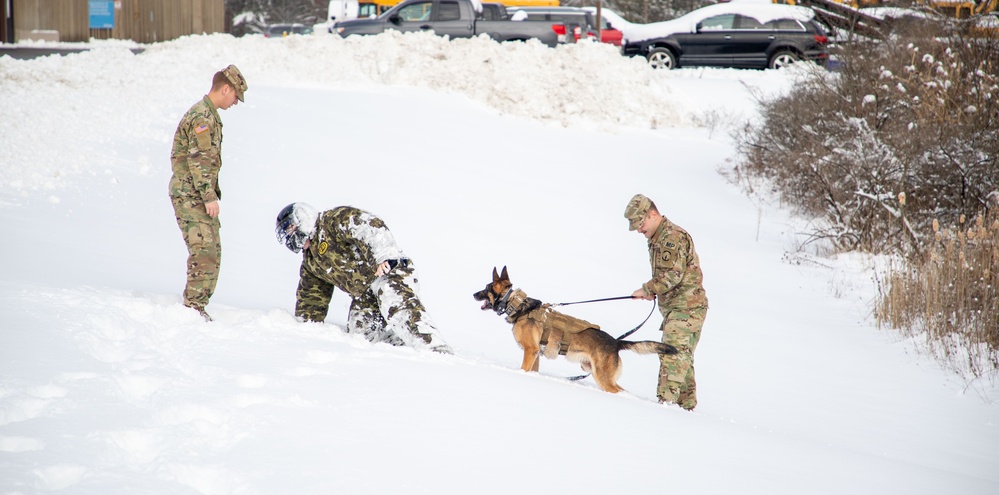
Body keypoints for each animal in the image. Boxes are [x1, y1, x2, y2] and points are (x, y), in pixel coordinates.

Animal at [470, 268, 676, 396]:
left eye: (486, 288)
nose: (473, 294)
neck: (518, 306)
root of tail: (616, 342)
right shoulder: (535, 354)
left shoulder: (530, 351)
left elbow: (523, 369)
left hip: (602, 377)